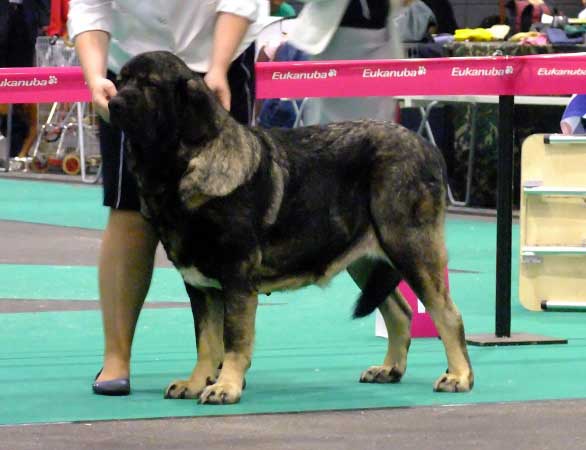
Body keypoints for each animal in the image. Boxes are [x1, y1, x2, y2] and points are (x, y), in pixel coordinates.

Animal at [109, 51, 472, 406]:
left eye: (150, 85)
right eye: (121, 80)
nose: (113, 103)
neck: (179, 168)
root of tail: (429, 148)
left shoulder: (236, 277)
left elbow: (233, 338)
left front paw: (225, 386)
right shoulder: (199, 285)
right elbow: (206, 341)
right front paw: (196, 382)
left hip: (410, 247)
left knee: (447, 313)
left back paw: (459, 376)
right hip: (366, 260)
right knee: (401, 311)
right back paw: (389, 369)